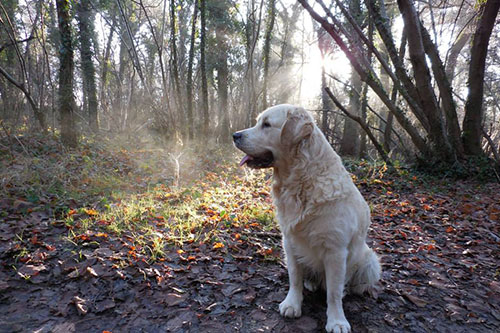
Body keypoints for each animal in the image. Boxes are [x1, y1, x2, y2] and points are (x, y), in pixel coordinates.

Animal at [232, 104, 380, 332]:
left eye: (266, 124)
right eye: (258, 122)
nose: (235, 135)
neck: (302, 180)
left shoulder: (336, 250)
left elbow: (334, 292)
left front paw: (337, 320)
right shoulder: (289, 241)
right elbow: (294, 277)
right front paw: (292, 303)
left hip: (370, 260)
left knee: (351, 283)